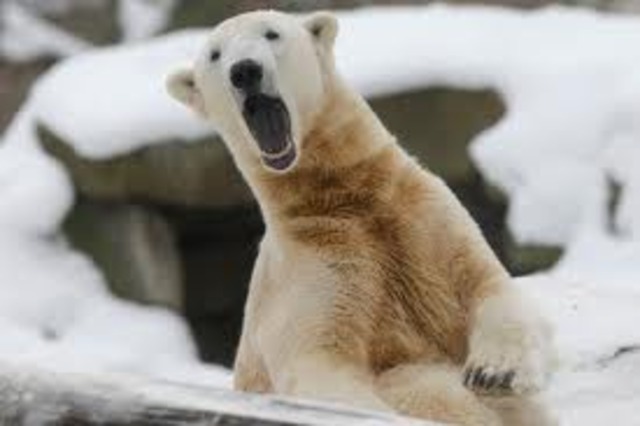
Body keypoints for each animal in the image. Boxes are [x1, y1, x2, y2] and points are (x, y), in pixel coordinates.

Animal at [166, 10, 556, 425]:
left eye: (272, 34)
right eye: (214, 54)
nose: (244, 71)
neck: (352, 195)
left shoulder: (423, 217)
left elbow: (488, 286)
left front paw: (493, 372)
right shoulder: (314, 261)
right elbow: (321, 364)